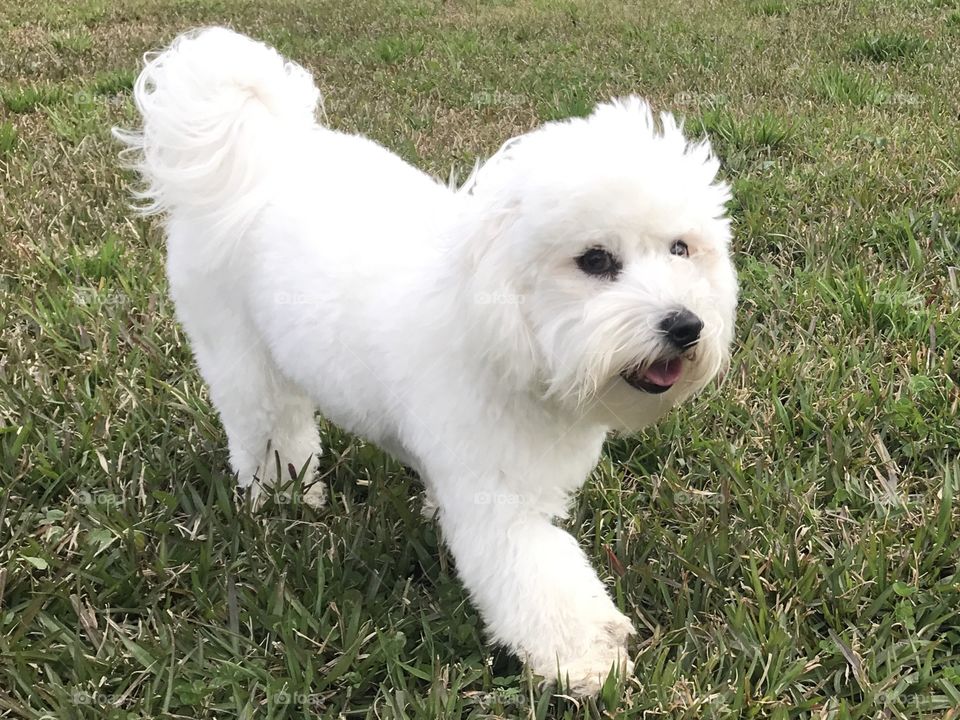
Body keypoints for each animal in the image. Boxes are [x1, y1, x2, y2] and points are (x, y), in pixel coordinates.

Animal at [116, 29, 740, 696]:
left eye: (681, 249)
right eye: (595, 260)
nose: (686, 325)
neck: (496, 324)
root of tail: (260, 151)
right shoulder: (499, 503)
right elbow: (541, 581)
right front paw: (587, 659)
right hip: (239, 356)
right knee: (268, 429)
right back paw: (286, 497)